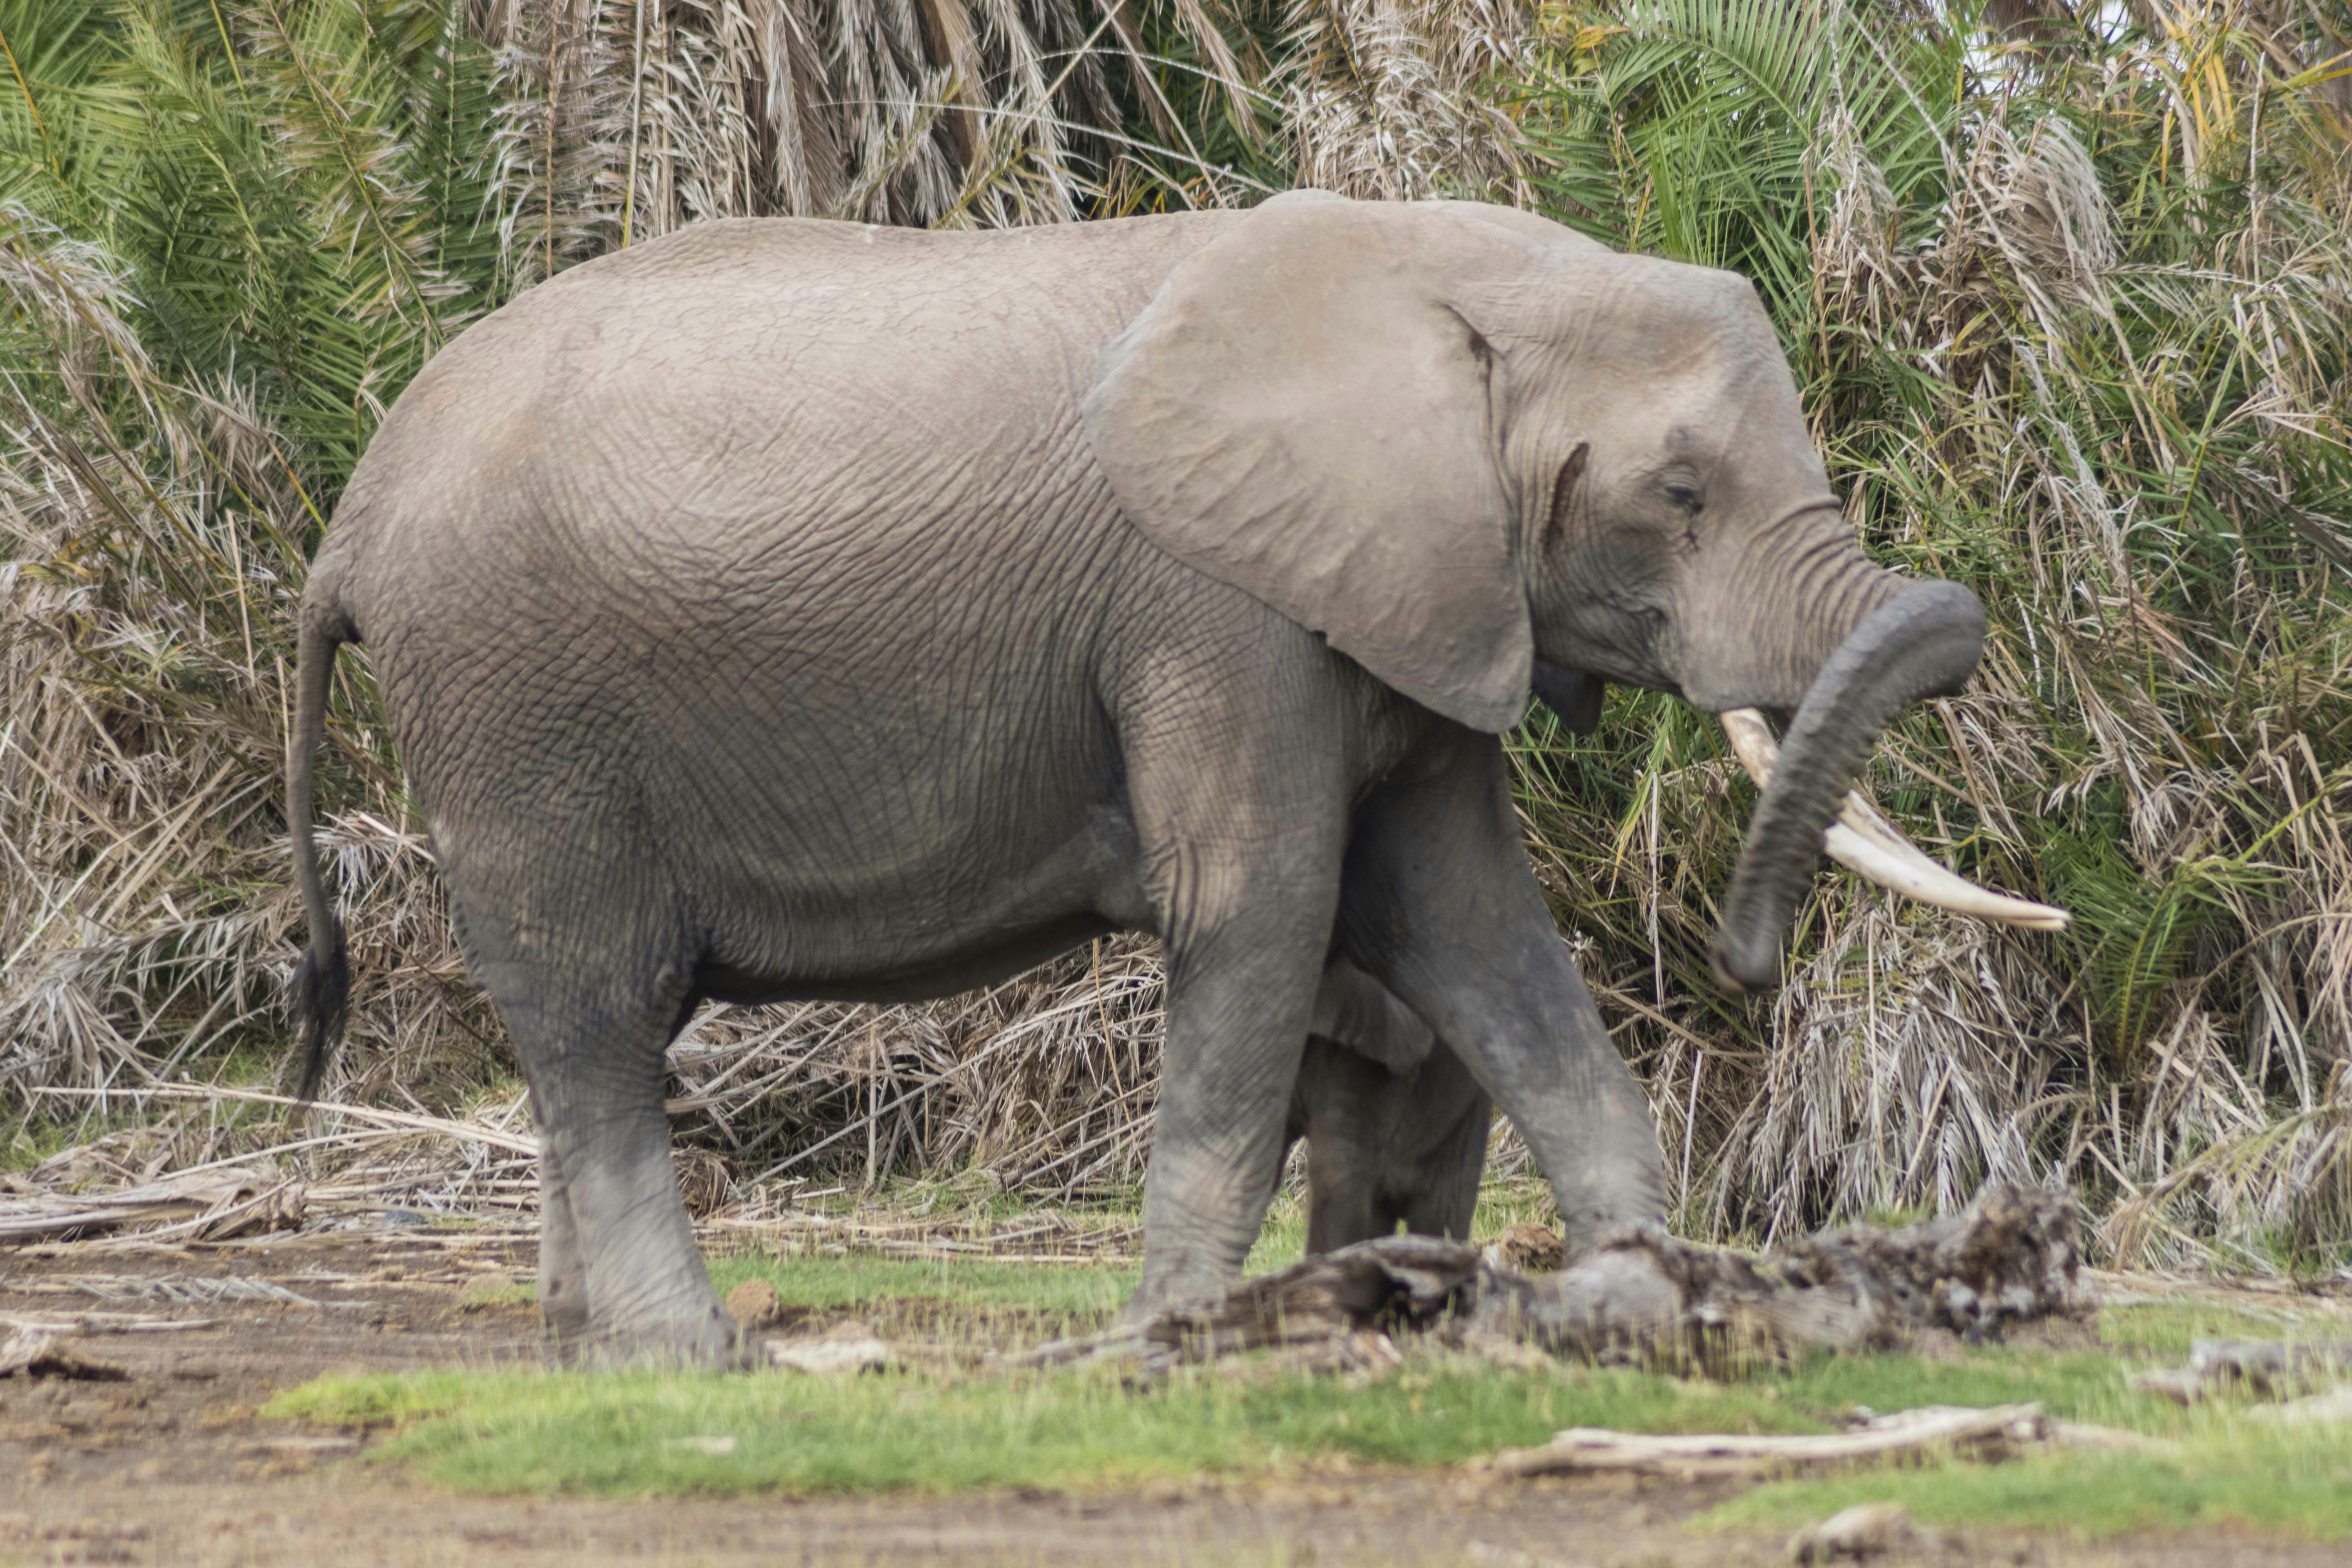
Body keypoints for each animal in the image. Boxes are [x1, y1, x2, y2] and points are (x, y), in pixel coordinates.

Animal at [285, 190, 2051, 1368]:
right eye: (1678, 492)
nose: (1752, 962)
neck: (1451, 272)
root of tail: (344, 533)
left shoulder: (1408, 596)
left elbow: (1471, 922)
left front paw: (1633, 1289)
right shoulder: (1218, 607)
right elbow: (1265, 903)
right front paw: (1182, 1341)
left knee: (590, 1028)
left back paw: (584, 1351)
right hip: (516, 703)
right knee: (591, 1012)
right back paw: (696, 1360)